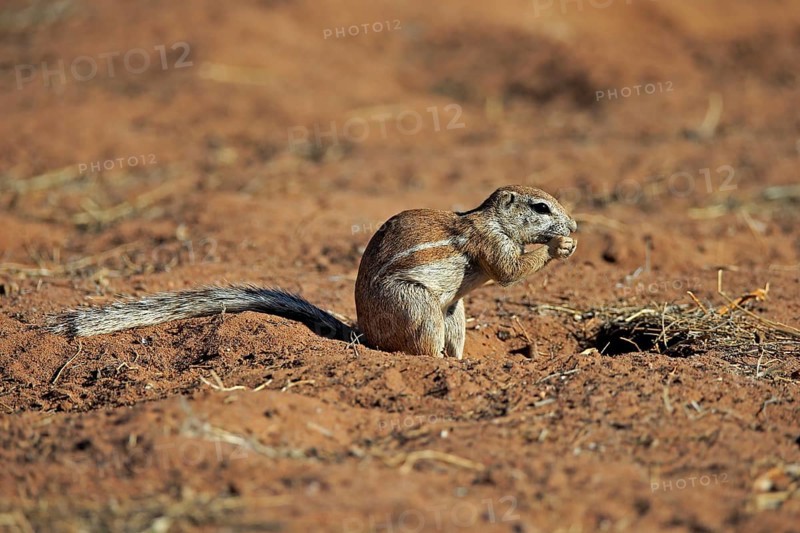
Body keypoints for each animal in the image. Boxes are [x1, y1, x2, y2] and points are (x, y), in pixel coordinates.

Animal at [49, 185, 577, 359]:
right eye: (540, 207)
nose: (573, 224)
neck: (490, 218)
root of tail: (365, 334)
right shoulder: (490, 243)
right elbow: (509, 269)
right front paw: (558, 247)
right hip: (420, 307)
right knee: (418, 349)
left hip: (455, 311)